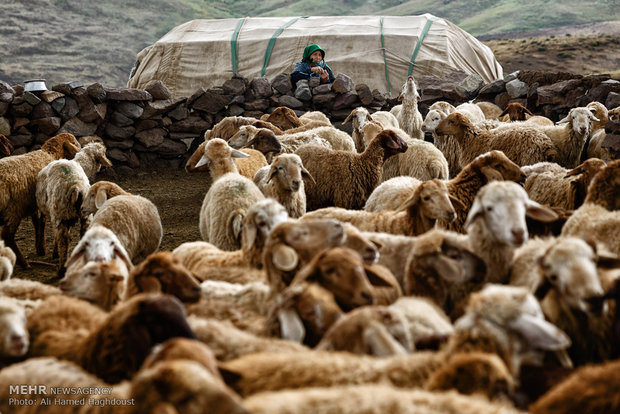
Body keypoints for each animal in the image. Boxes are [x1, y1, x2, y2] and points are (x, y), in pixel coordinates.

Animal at [0, 133, 81, 268]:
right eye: (74, 142)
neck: (50, 154)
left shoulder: (35, 203)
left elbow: (36, 222)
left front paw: (39, 248)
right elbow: (42, 222)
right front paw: (42, 248)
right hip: (14, 210)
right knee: (8, 237)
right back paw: (24, 263)